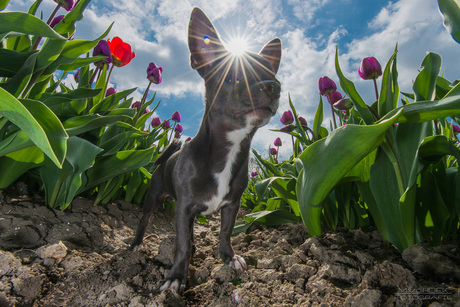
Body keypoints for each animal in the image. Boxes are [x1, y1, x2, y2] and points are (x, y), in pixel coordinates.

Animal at [129, 6, 280, 292]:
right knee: (144, 221)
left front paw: (229, 257)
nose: (274, 87)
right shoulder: (184, 208)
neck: (230, 148)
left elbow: (225, 233)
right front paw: (176, 276)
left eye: (274, 76)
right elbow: (181, 245)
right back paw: (135, 245)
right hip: (152, 199)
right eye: (234, 77)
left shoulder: (231, 205)